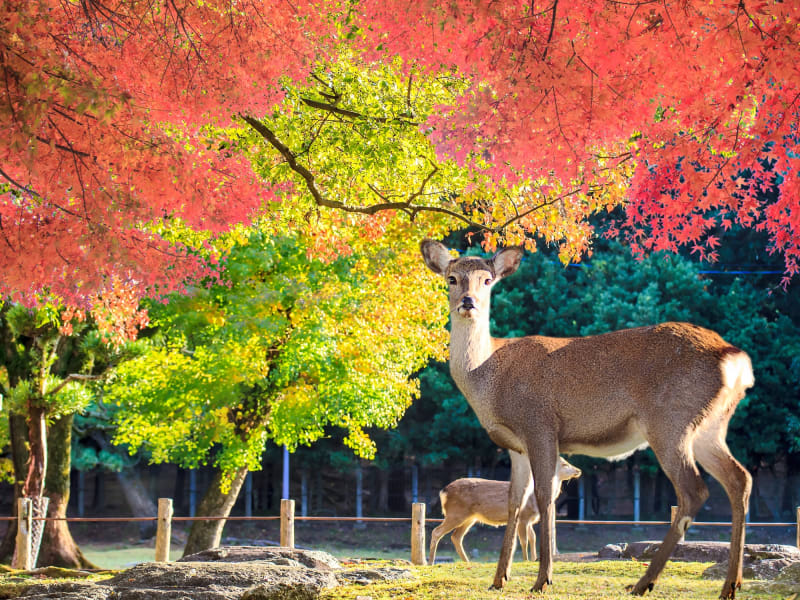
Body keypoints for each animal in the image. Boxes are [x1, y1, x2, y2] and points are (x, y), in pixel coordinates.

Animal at [428, 458, 580, 564]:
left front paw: (534, 559)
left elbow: (533, 538)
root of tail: (443, 492)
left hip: (470, 517)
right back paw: (430, 562)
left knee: (456, 536)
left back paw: (467, 562)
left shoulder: (530, 520)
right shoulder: (523, 516)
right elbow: (523, 540)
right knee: (437, 531)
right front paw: (525, 560)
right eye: (564, 464)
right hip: (456, 513)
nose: (578, 470)